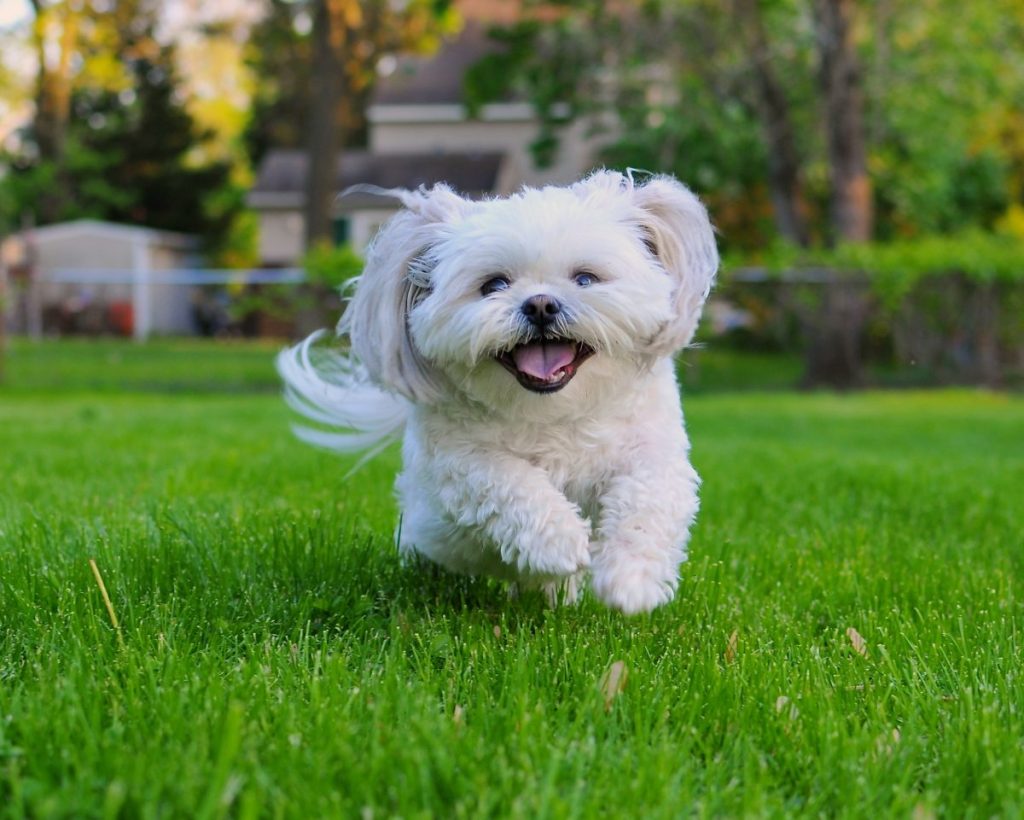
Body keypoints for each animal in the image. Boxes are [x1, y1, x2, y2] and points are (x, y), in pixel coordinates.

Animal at [276, 169, 716, 610]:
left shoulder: (652, 447)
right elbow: (510, 482)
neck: (554, 412)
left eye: (585, 278)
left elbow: (650, 497)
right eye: (493, 285)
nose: (540, 304)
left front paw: (632, 579)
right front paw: (560, 542)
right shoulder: (460, 459)